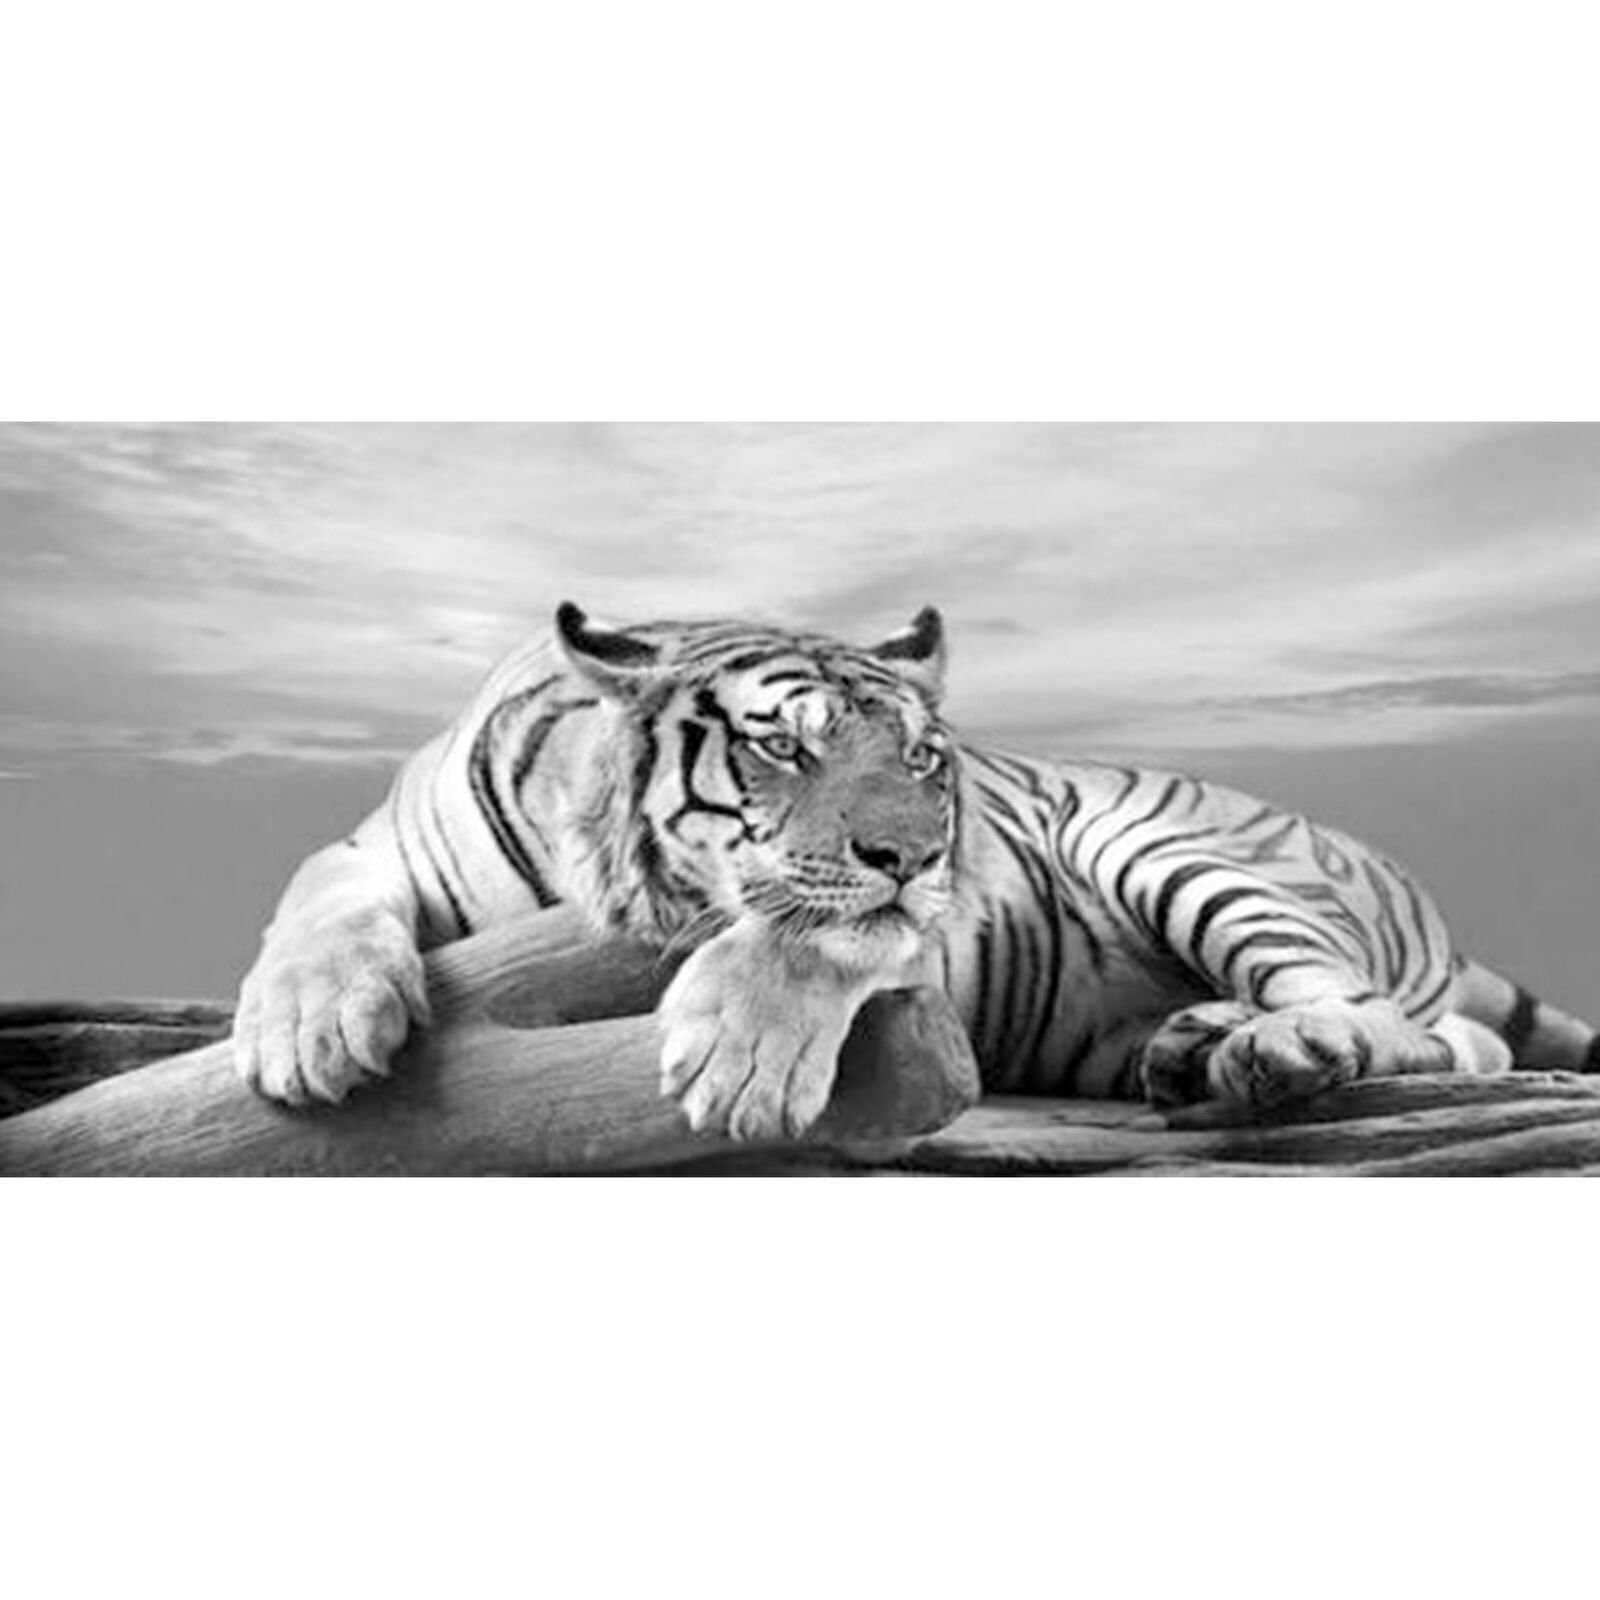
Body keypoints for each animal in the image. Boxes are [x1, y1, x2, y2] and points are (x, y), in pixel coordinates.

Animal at [232, 603, 1600, 1136]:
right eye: (782, 743)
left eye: (923, 755)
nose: (919, 852)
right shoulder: (372, 847)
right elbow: (316, 895)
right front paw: (309, 1030)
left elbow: (809, 934)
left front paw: (742, 1061)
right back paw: (1195, 1044)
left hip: (1166, 846)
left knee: (1401, 1023)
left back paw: (1277, 1048)